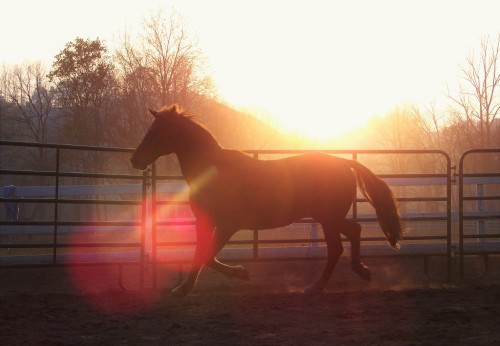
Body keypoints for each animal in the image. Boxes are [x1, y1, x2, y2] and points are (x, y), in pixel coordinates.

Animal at [130, 104, 402, 296]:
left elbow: (207, 255)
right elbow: (202, 254)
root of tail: (345, 163)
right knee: (354, 231)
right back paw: (360, 271)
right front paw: (186, 287)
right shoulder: (204, 222)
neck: (213, 170)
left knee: (337, 248)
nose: (135, 159)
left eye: (158, 131)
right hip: (330, 218)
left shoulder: (229, 224)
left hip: (328, 219)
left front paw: (239, 273)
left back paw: (316, 286)